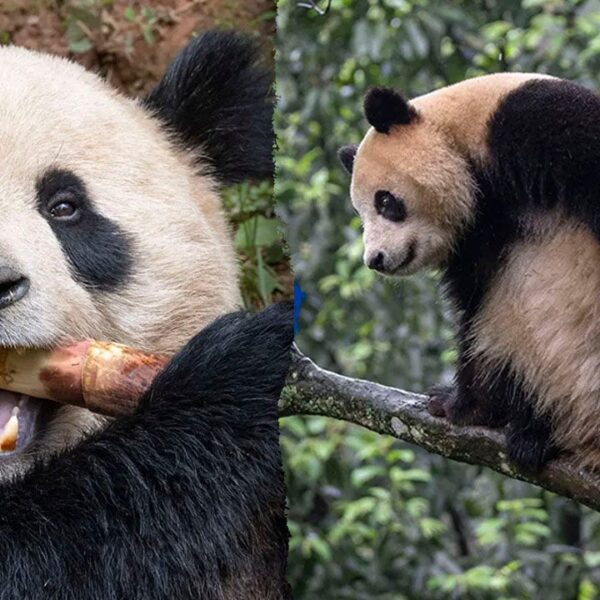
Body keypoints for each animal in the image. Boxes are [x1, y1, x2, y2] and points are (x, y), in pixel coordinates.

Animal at [338, 76, 600, 474]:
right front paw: (458, 405)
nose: (376, 259)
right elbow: (475, 311)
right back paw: (530, 433)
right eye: (359, 214)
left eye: (384, 201)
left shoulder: (540, 128)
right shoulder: (476, 239)